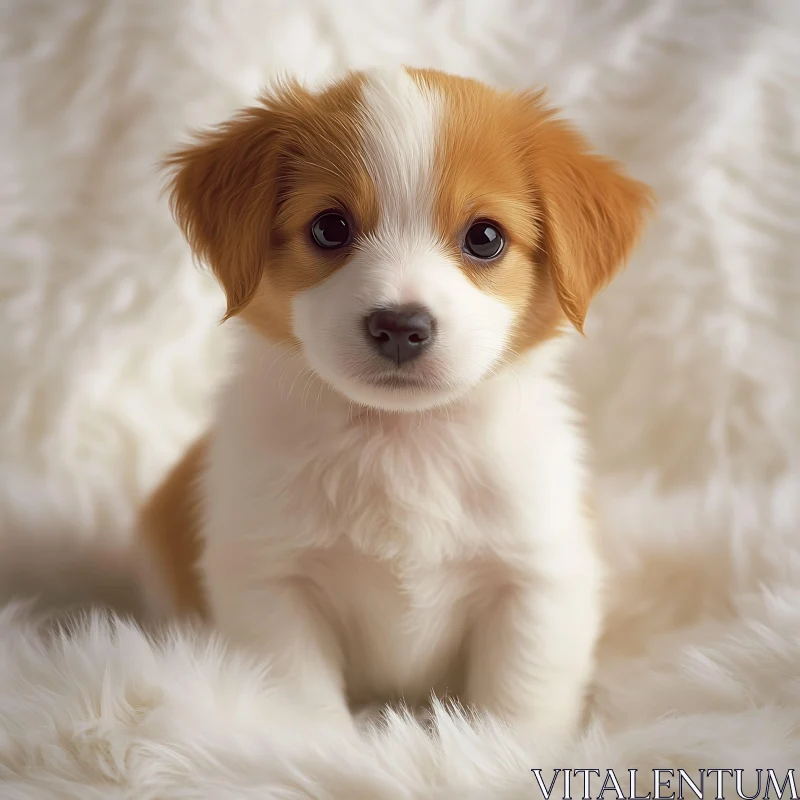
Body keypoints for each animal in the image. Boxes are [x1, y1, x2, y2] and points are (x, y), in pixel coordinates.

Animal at [136, 65, 648, 748]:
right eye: (330, 228)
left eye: (485, 237)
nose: (401, 326)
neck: (401, 440)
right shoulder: (269, 580)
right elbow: (300, 700)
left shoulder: (538, 579)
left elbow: (520, 703)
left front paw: (493, 757)